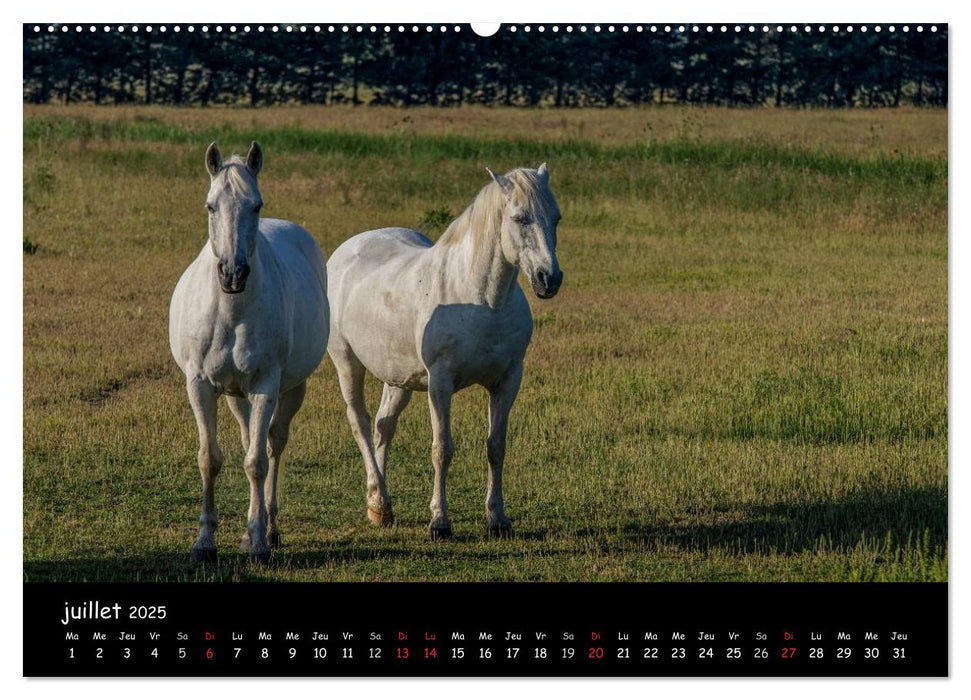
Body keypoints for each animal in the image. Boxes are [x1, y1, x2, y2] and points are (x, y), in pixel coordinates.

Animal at [168, 142, 330, 564]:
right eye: (210, 206)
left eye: (256, 205)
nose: (233, 274)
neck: (230, 312)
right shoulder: (200, 385)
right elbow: (210, 458)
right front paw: (204, 542)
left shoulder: (265, 386)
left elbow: (257, 463)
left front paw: (258, 543)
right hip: (235, 396)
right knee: (247, 440)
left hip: (289, 390)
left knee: (273, 447)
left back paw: (269, 529)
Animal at [326, 165, 560, 540]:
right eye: (520, 218)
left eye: (556, 218)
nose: (549, 279)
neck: (480, 300)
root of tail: (348, 250)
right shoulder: (440, 383)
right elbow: (442, 449)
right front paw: (440, 522)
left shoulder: (508, 380)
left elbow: (496, 446)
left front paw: (498, 519)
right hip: (347, 364)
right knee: (360, 423)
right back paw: (378, 498)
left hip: (398, 378)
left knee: (383, 426)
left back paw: (380, 507)